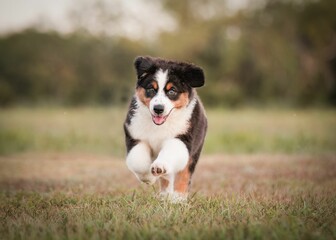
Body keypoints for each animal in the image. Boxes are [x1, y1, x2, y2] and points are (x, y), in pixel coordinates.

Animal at [124, 55, 207, 201]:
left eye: (172, 91)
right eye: (151, 89)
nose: (158, 109)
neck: (159, 126)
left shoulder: (181, 138)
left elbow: (170, 154)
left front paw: (159, 167)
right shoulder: (135, 135)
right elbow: (138, 161)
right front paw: (149, 178)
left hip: (195, 150)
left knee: (184, 174)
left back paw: (178, 198)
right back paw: (164, 196)